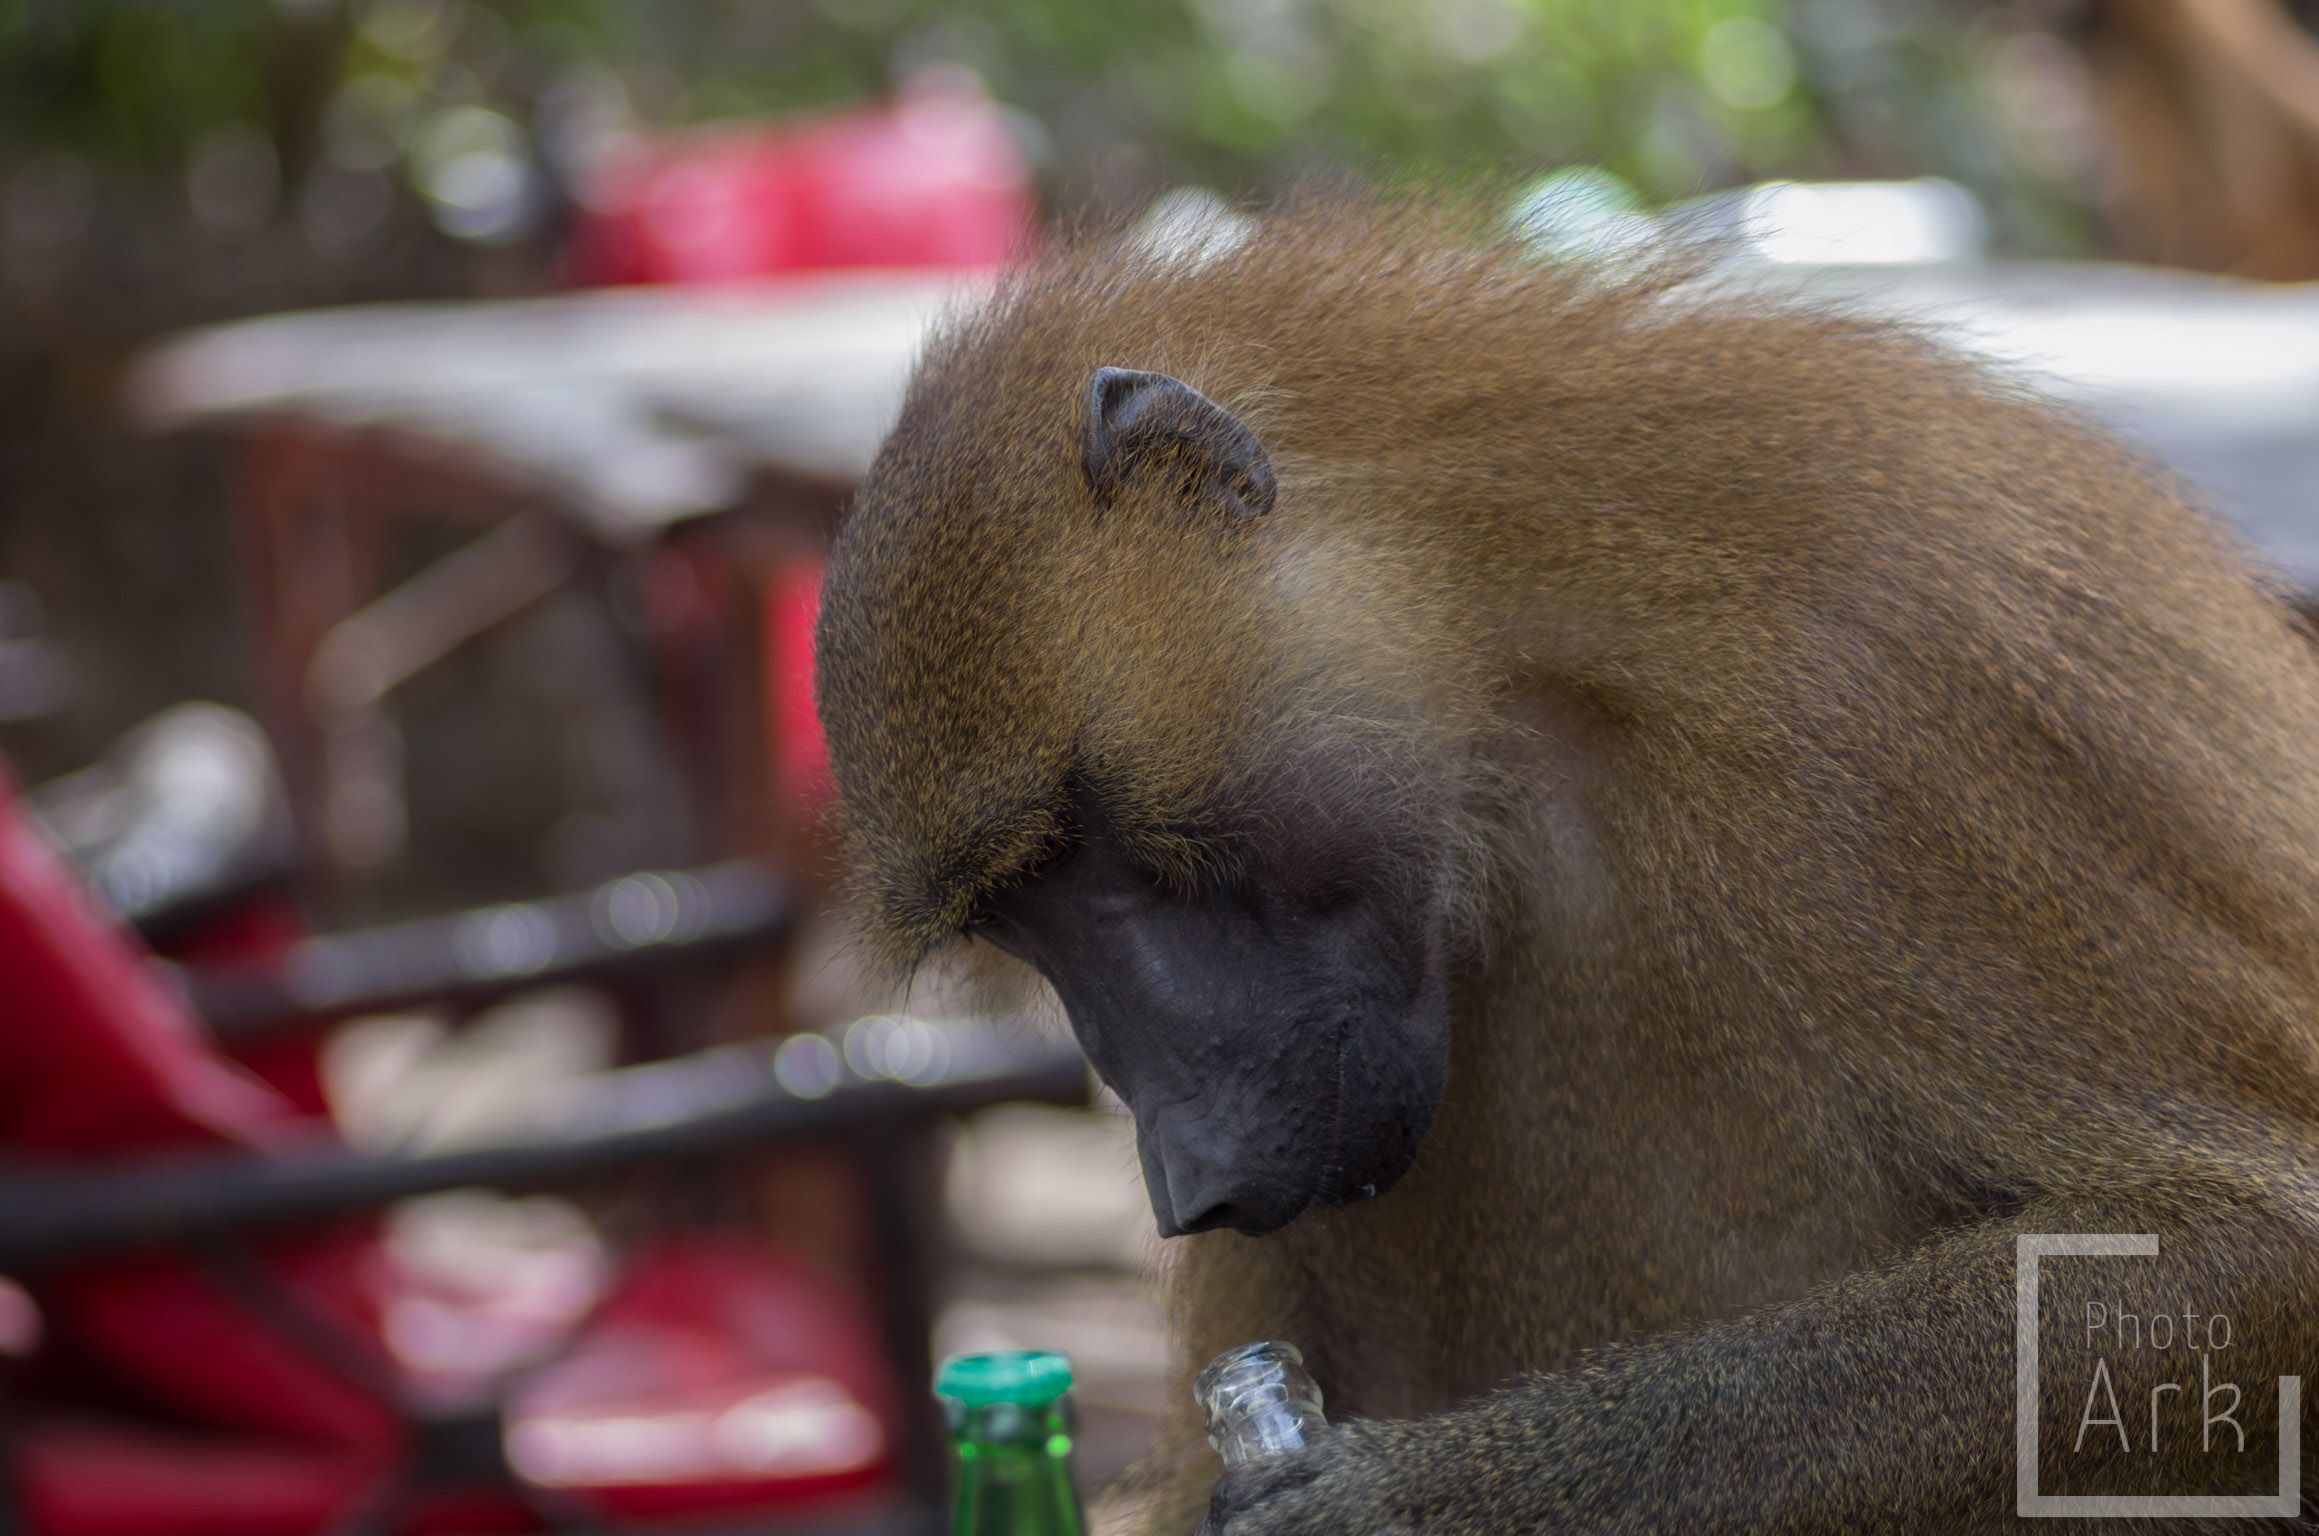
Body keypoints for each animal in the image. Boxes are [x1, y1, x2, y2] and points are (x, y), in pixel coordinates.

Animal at [811, 193, 2319, 1532]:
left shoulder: (1887, 704)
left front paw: (1410, 1505)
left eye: (1083, 843)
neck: (1519, 654)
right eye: (1017, 915)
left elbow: (2247, 1246)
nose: (1190, 1187)